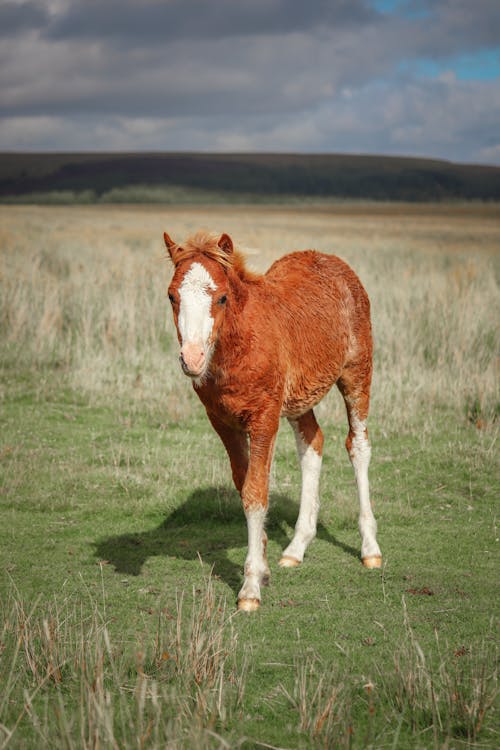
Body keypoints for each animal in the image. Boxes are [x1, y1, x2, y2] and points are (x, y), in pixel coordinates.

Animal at [165, 232, 382, 612]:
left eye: (222, 297)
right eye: (172, 296)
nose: (192, 359)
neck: (238, 345)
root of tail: (334, 262)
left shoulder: (264, 418)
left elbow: (256, 492)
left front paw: (251, 587)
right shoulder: (222, 422)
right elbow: (244, 485)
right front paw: (264, 568)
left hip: (357, 374)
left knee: (358, 445)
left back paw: (370, 549)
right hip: (300, 397)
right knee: (312, 443)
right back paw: (296, 547)